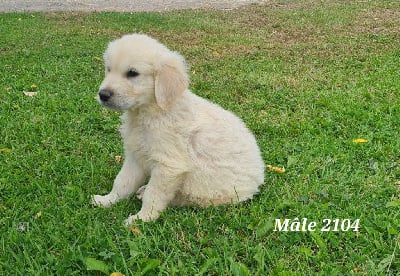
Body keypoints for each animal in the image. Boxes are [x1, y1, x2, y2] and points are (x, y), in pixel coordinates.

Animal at [92, 34, 264, 224]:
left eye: (132, 73)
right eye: (109, 69)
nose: (103, 94)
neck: (151, 112)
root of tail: (259, 178)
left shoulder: (169, 166)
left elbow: (154, 194)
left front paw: (141, 219)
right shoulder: (135, 156)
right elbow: (122, 181)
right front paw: (107, 200)